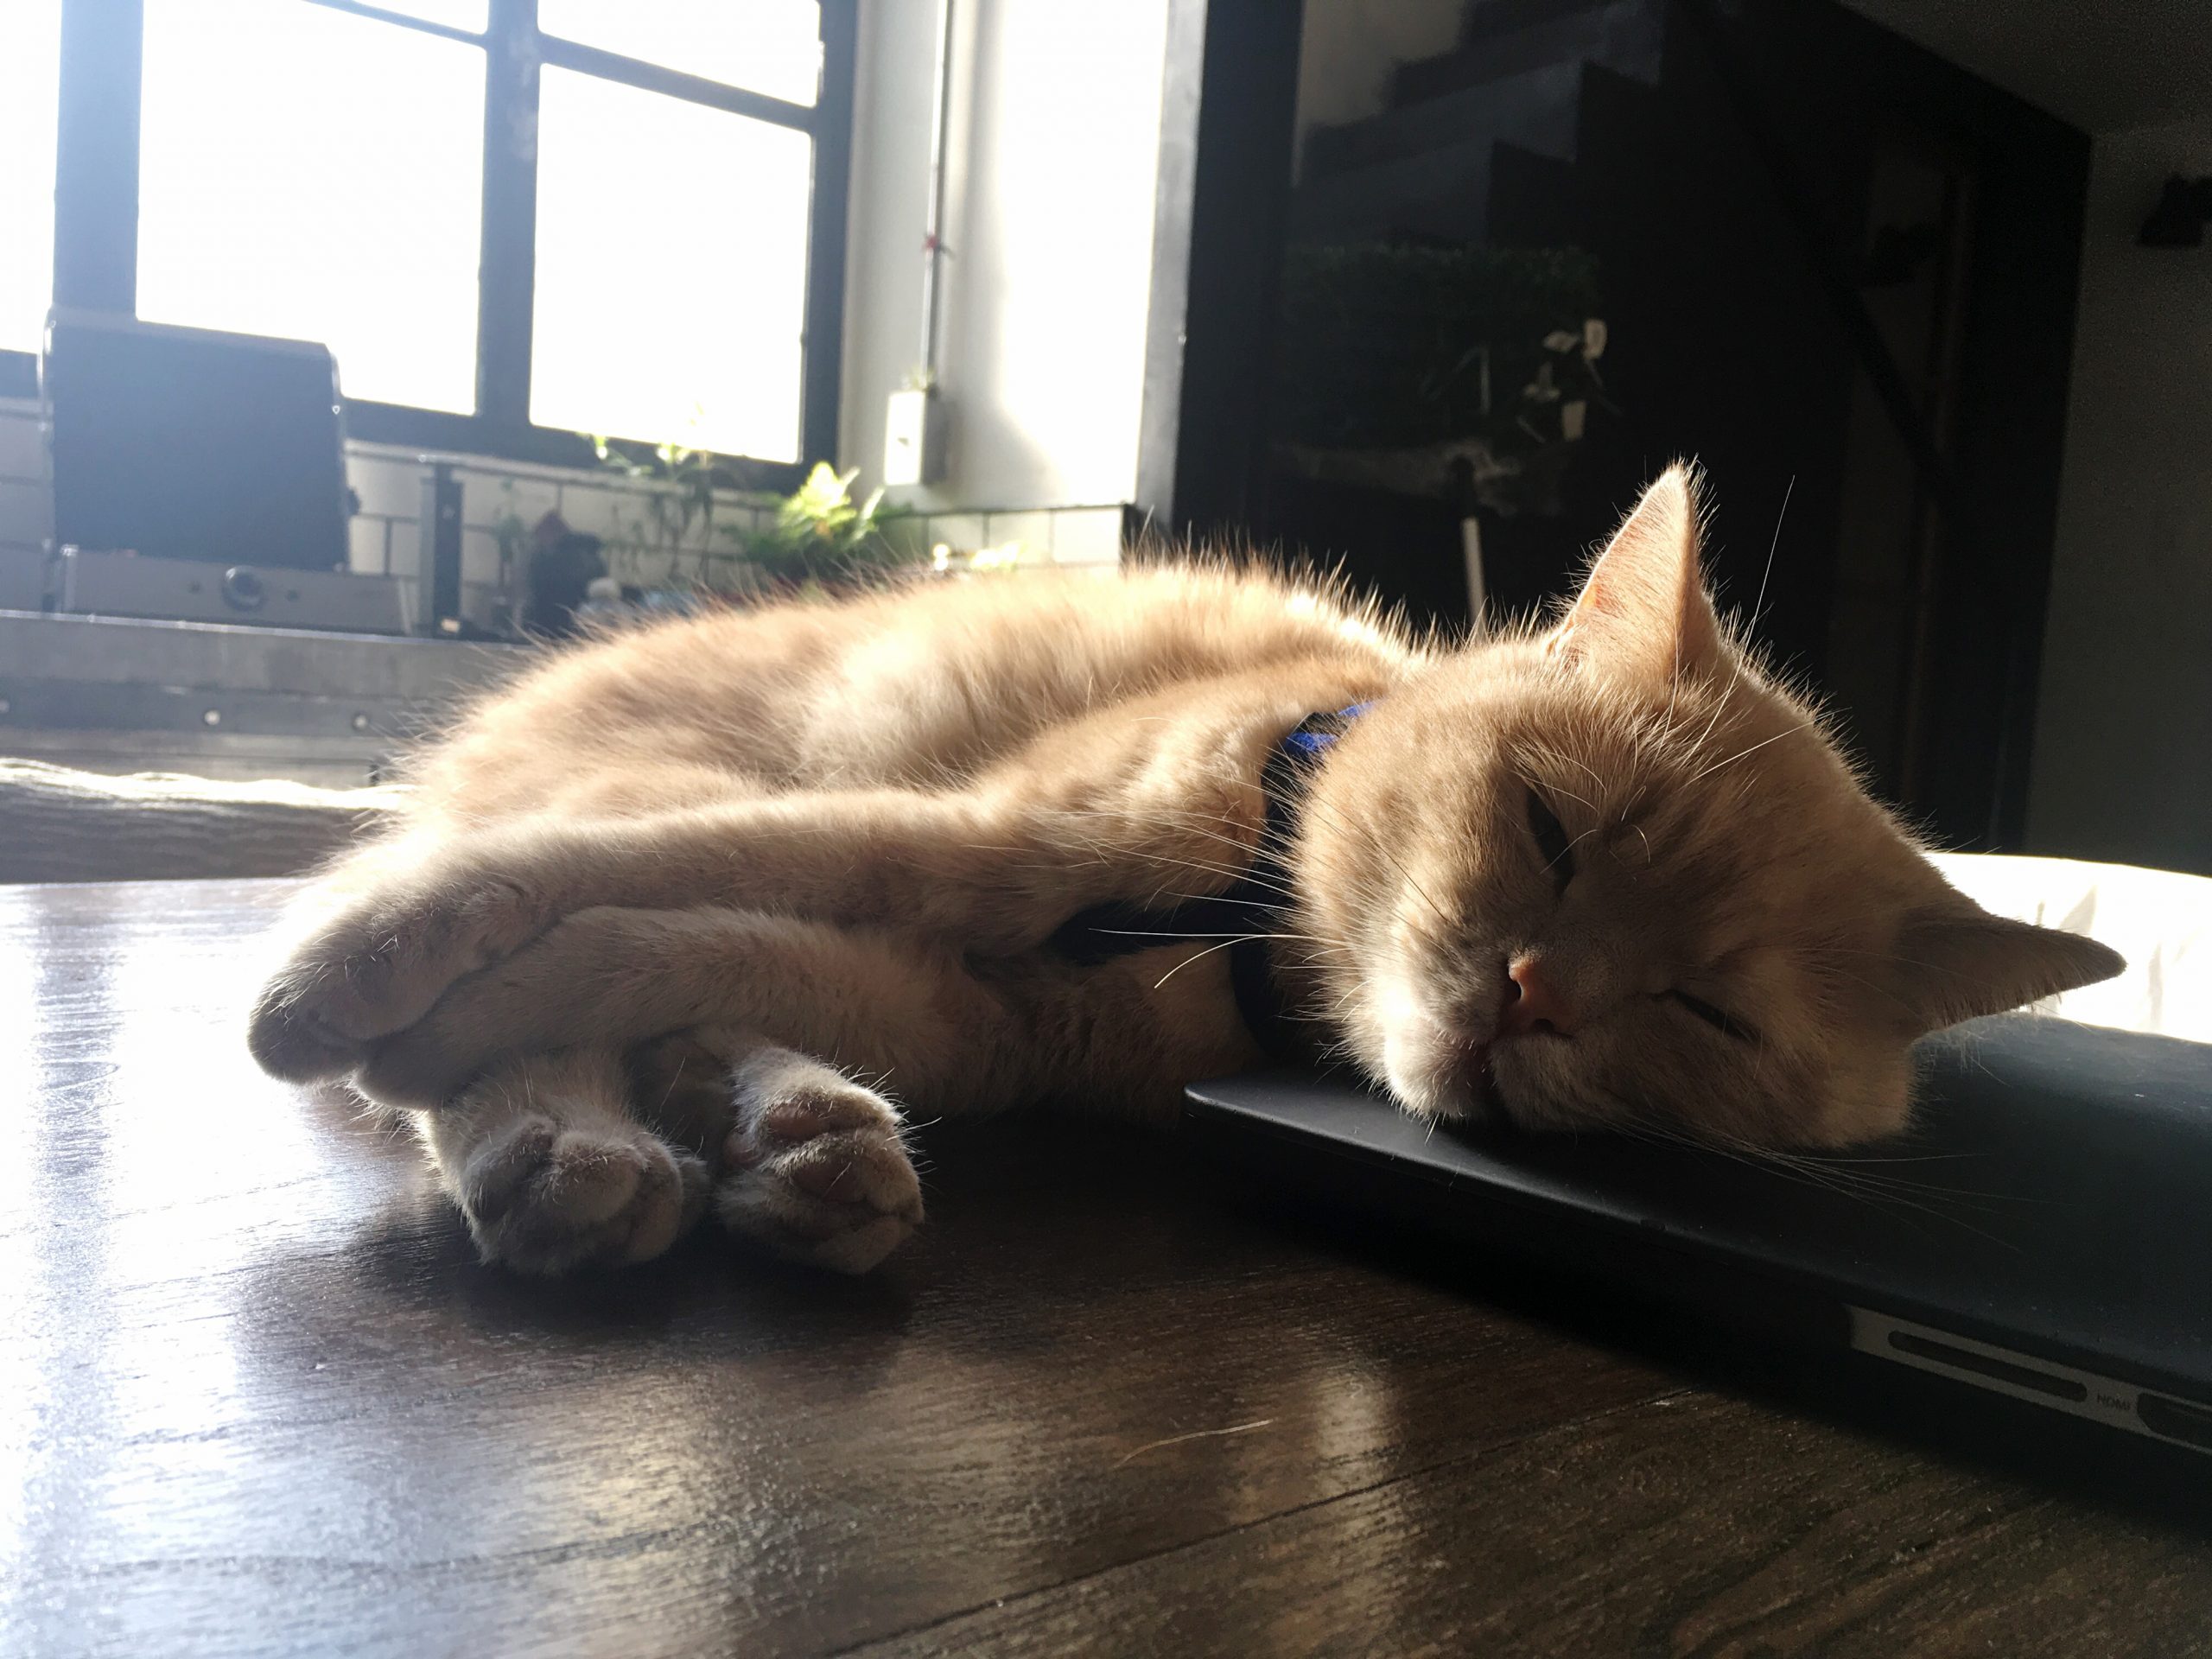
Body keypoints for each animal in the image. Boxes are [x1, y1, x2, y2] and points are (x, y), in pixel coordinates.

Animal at [246, 473, 2123, 1282]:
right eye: (1548, 831)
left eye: (1706, 1013)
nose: (1534, 997)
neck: (1234, 931)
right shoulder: (966, 844)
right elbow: (575, 892)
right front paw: (351, 980)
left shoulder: (957, 1006)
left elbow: (653, 944)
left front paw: (443, 1015)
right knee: (534, 928)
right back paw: (575, 1151)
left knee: (678, 1040)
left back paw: (763, 1153)